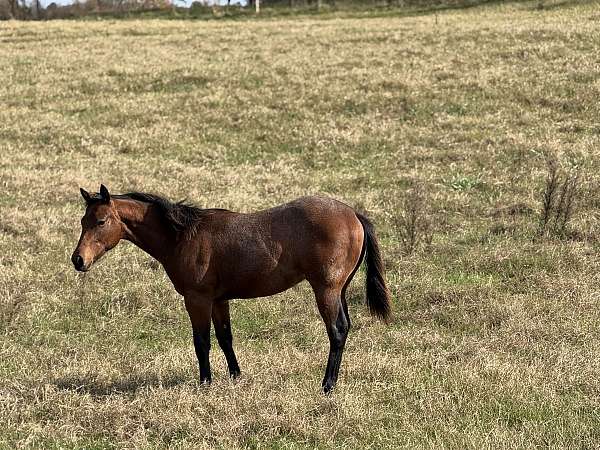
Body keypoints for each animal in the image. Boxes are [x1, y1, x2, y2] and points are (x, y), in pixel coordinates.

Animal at [72, 185, 392, 392]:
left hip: (326, 290)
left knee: (336, 331)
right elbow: (225, 338)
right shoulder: (218, 300)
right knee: (345, 328)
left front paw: (205, 383)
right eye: (83, 220)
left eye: (101, 221)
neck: (184, 237)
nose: (78, 260)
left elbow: (201, 342)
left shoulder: (197, 299)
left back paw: (327, 386)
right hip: (340, 290)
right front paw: (236, 377)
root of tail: (354, 215)